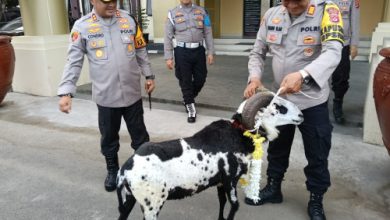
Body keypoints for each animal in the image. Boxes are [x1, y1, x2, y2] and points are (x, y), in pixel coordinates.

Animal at [114, 90, 304, 219]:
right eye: (278, 107)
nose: (301, 114)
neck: (239, 134)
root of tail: (124, 172)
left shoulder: (219, 183)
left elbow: (222, 203)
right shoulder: (230, 180)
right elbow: (234, 206)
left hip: (130, 198)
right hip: (152, 204)